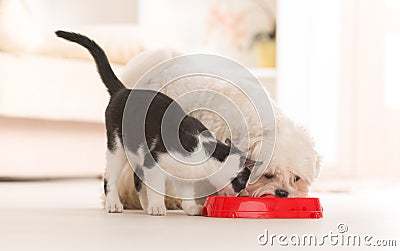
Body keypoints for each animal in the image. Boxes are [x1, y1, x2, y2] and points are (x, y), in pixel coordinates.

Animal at [55, 30, 262, 216]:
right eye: (242, 182)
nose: (240, 194)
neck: (204, 153)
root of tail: (123, 90)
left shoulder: (184, 177)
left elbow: (185, 193)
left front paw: (190, 209)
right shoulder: (154, 161)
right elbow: (156, 187)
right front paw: (157, 206)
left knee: (136, 179)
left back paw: (144, 206)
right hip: (117, 147)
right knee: (110, 177)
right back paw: (114, 204)